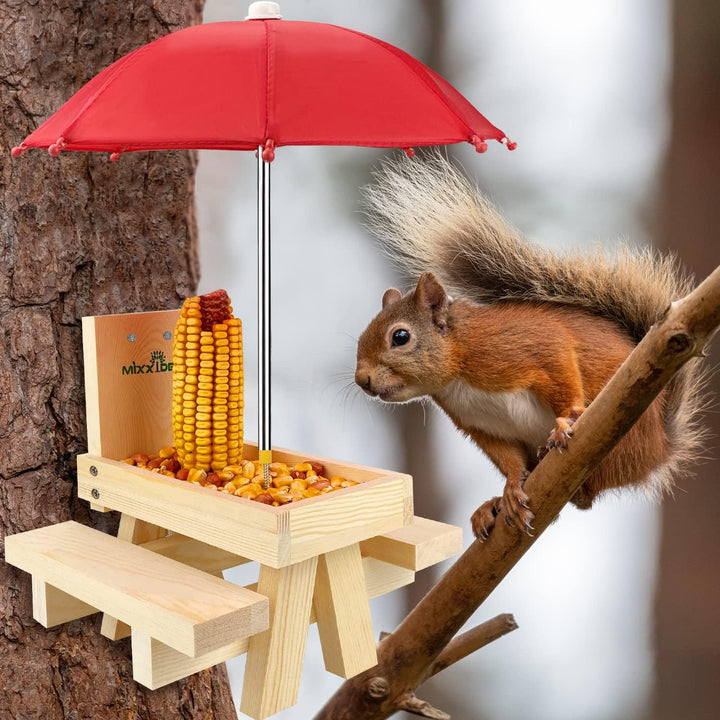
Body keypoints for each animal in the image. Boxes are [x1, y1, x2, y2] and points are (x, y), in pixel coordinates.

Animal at [354, 152, 706, 539]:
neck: (459, 369)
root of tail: (661, 446)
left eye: (400, 337)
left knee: (591, 492)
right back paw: (493, 506)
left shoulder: (530, 347)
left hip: (621, 438)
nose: (362, 380)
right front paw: (509, 489)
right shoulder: (482, 426)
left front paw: (565, 422)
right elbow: (507, 459)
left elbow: (561, 370)